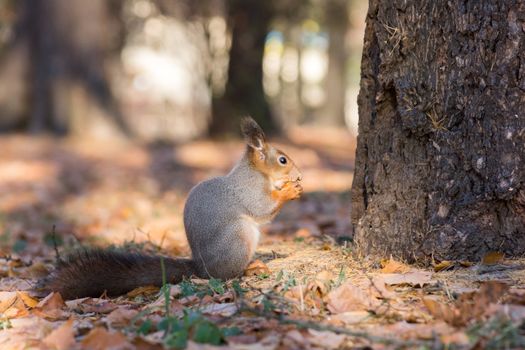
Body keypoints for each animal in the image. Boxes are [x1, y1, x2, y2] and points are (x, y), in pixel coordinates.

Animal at [40, 117, 302, 298]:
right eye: (283, 160)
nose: (299, 175)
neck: (257, 173)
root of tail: (201, 269)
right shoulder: (249, 191)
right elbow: (262, 208)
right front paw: (290, 191)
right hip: (239, 237)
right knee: (227, 275)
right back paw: (250, 267)